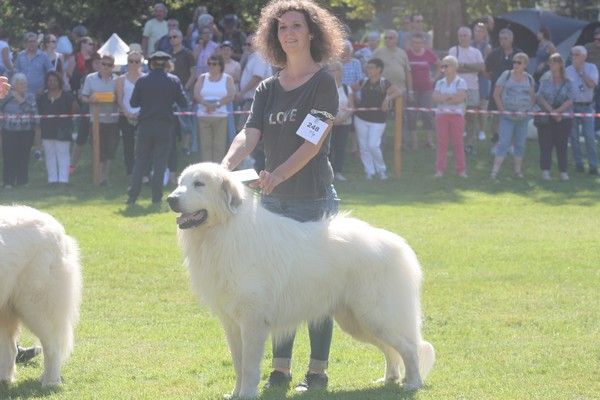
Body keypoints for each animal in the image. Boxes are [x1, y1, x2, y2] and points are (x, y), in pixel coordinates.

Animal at [166, 163, 434, 400]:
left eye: (199, 184)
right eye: (180, 183)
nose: (170, 199)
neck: (223, 231)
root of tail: (397, 243)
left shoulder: (253, 321)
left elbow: (249, 365)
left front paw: (247, 394)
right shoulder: (231, 323)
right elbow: (238, 363)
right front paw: (235, 393)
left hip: (376, 316)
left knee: (409, 348)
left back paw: (412, 383)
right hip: (357, 321)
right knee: (391, 350)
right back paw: (389, 379)